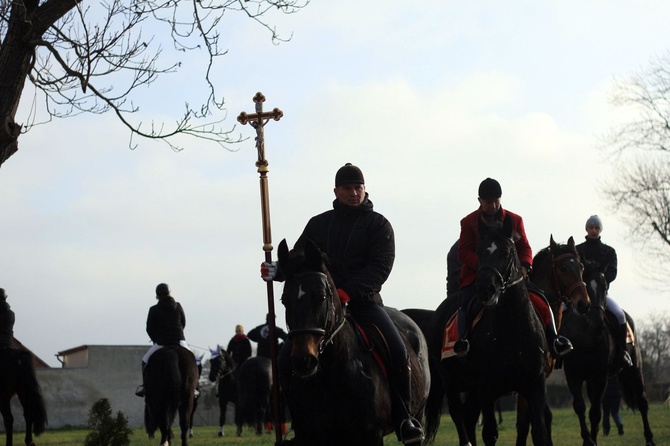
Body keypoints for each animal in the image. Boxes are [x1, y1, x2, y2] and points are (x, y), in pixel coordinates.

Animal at [276, 239, 430, 444]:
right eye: (285, 300)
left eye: (321, 297)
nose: (304, 360)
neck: (331, 375)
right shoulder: (311, 436)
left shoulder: (371, 435)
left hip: (418, 415)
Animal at [428, 214, 552, 444]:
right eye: (479, 251)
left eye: (506, 252)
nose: (486, 289)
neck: (513, 329)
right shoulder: (486, 389)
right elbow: (490, 434)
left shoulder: (535, 386)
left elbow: (539, 432)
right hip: (450, 380)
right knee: (458, 414)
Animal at [560, 268, 656, 446]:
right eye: (585, 285)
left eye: (604, 287)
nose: (598, 321)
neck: (585, 333)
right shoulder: (573, 374)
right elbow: (580, 407)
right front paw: (588, 439)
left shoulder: (600, 375)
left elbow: (595, 412)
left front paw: (591, 441)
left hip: (635, 370)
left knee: (642, 402)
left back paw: (650, 439)